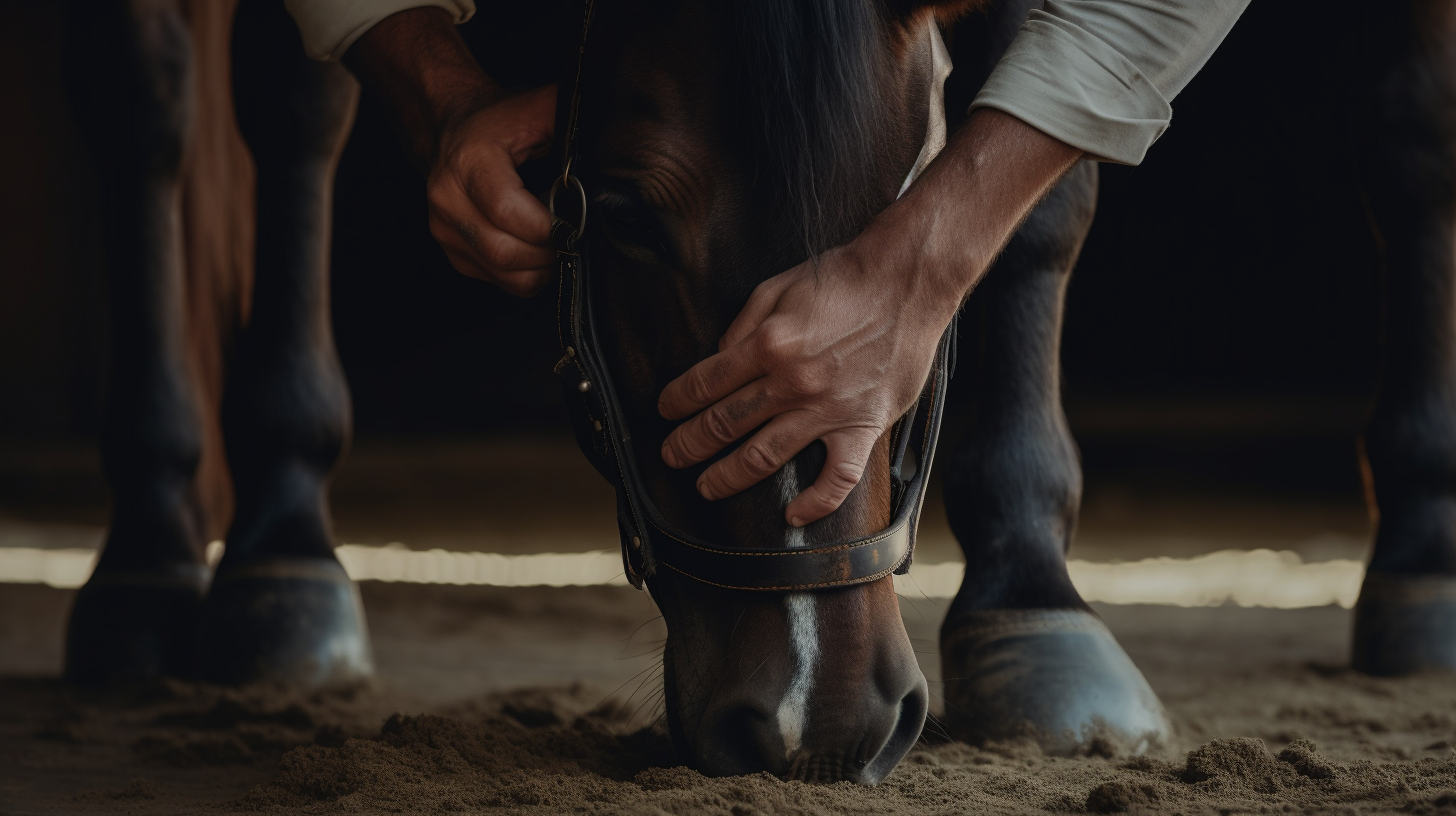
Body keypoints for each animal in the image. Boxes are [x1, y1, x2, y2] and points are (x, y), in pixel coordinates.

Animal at [56, 0, 1456, 792]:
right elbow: (273, 91)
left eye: (917, 210)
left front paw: (1038, 603)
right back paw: (206, 562)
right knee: (177, 105)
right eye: (617, 214)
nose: (812, 723)